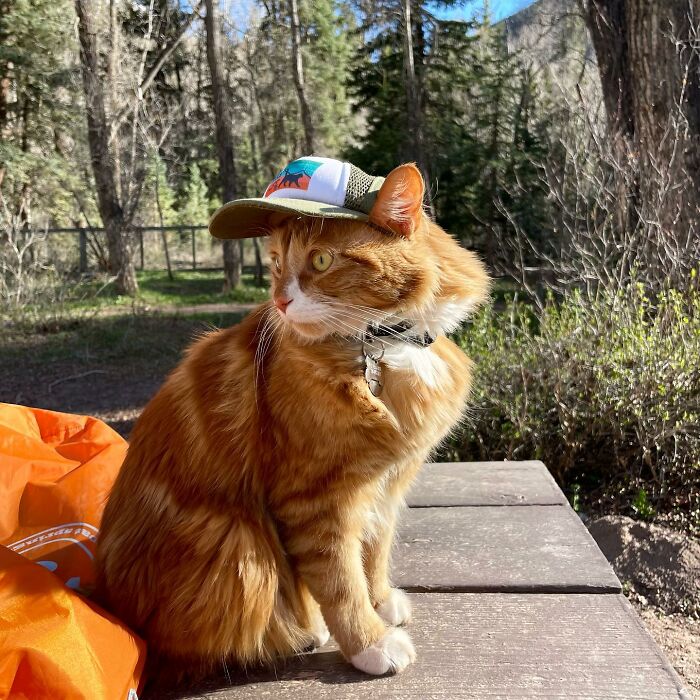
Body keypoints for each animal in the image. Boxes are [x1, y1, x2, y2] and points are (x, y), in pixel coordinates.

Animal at [95, 163, 490, 680]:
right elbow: (341, 581)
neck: (385, 346)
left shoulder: (387, 483)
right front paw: (369, 642)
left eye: (320, 260)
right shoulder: (316, 499)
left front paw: (381, 601)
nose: (281, 302)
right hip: (241, 544)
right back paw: (304, 633)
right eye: (278, 263)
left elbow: (375, 552)